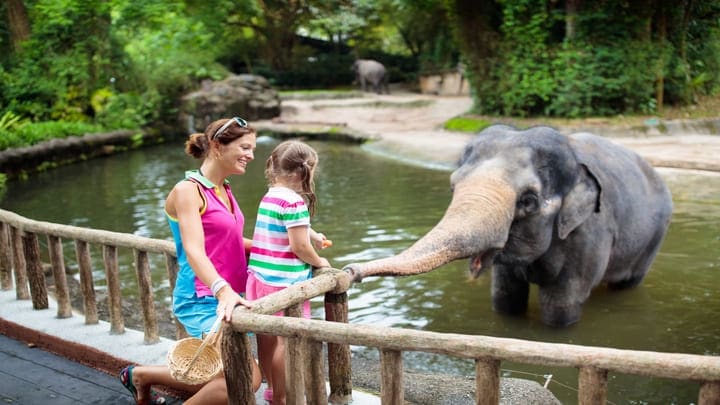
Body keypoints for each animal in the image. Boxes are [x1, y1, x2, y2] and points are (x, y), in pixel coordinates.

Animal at [346, 124, 672, 326]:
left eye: (528, 200)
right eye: (453, 186)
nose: (350, 271)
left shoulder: (589, 234)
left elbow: (560, 305)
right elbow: (505, 298)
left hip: (655, 236)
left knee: (628, 283)